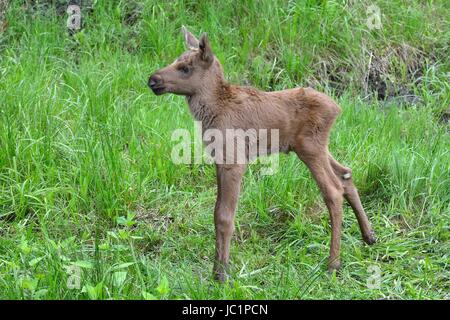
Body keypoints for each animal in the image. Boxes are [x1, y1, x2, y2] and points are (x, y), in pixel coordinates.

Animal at [149, 27, 376, 282]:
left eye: (186, 67)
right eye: (175, 60)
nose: (152, 80)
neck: (212, 112)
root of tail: (338, 108)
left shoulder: (234, 160)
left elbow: (224, 216)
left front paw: (221, 274)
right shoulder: (219, 160)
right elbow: (217, 212)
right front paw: (217, 269)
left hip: (310, 147)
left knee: (333, 190)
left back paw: (333, 264)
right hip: (314, 147)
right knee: (346, 174)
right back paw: (368, 235)